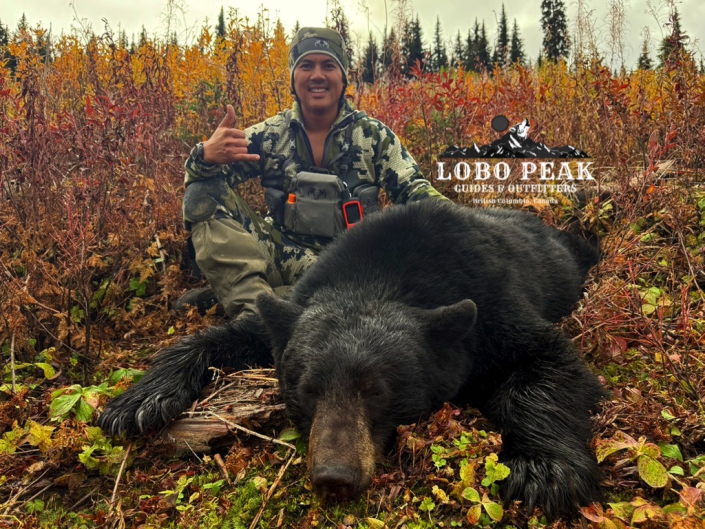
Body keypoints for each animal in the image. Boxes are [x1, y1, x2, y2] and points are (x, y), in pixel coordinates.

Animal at [98, 200, 603, 518]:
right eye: (306, 389)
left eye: (376, 390)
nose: (334, 476)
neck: (381, 274)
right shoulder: (296, 307)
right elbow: (230, 335)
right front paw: (138, 401)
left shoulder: (491, 303)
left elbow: (548, 359)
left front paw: (543, 471)